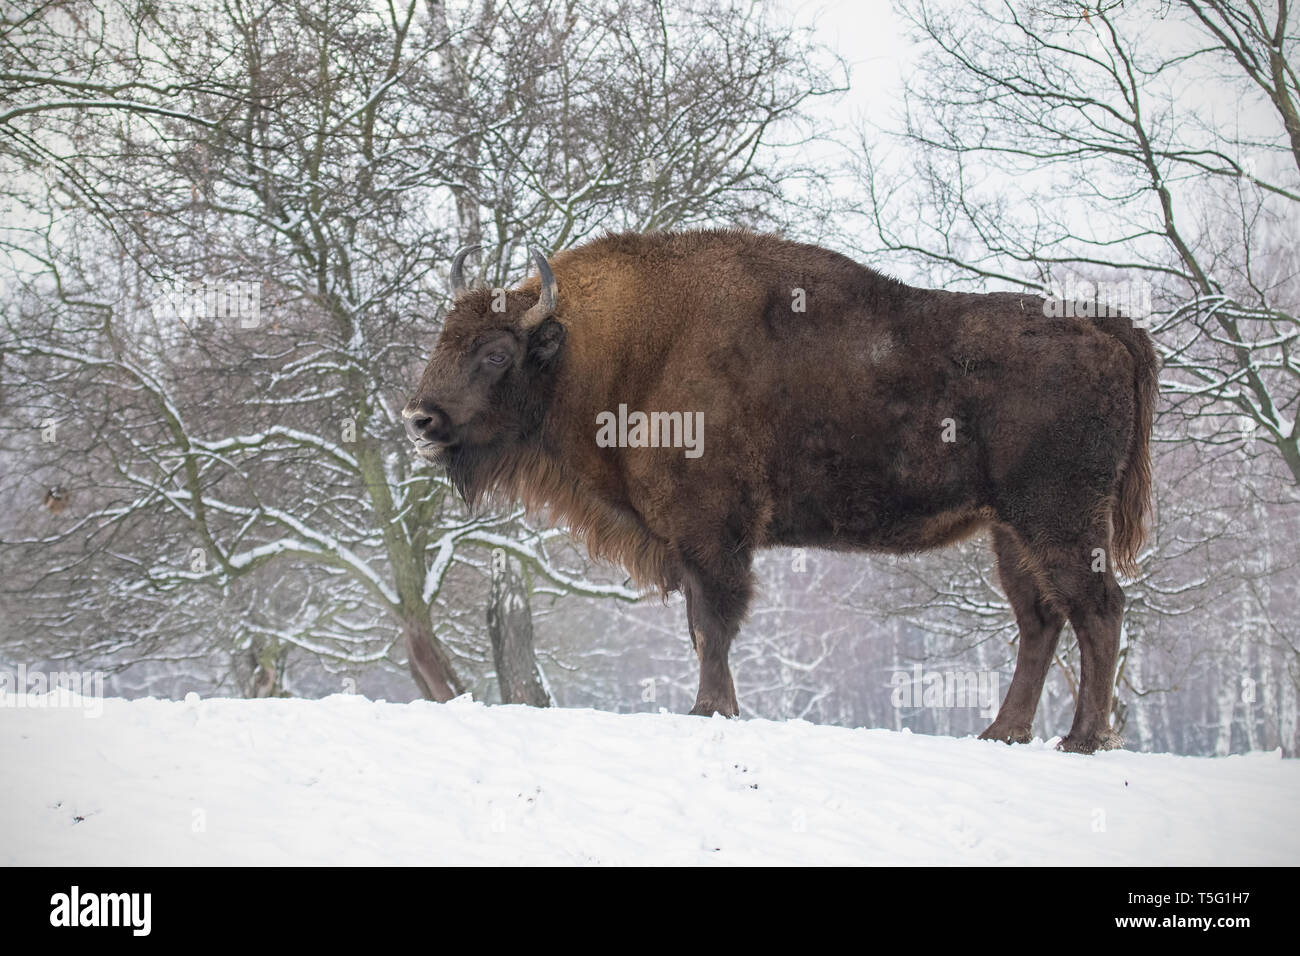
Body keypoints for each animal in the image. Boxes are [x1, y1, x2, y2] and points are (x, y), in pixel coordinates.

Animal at [405, 231, 1159, 754]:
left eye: (495, 353)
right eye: (442, 338)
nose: (419, 418)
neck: (624, 350)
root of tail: (1101, 325)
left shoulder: (711, 531)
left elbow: (713, 623)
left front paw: (710, 708)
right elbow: (701, 625)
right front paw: (714, 705)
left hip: (1059, 518)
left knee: (1097, 609)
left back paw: (1080, 740)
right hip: (1008, 529)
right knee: (1041, 619)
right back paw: (1003, 732)